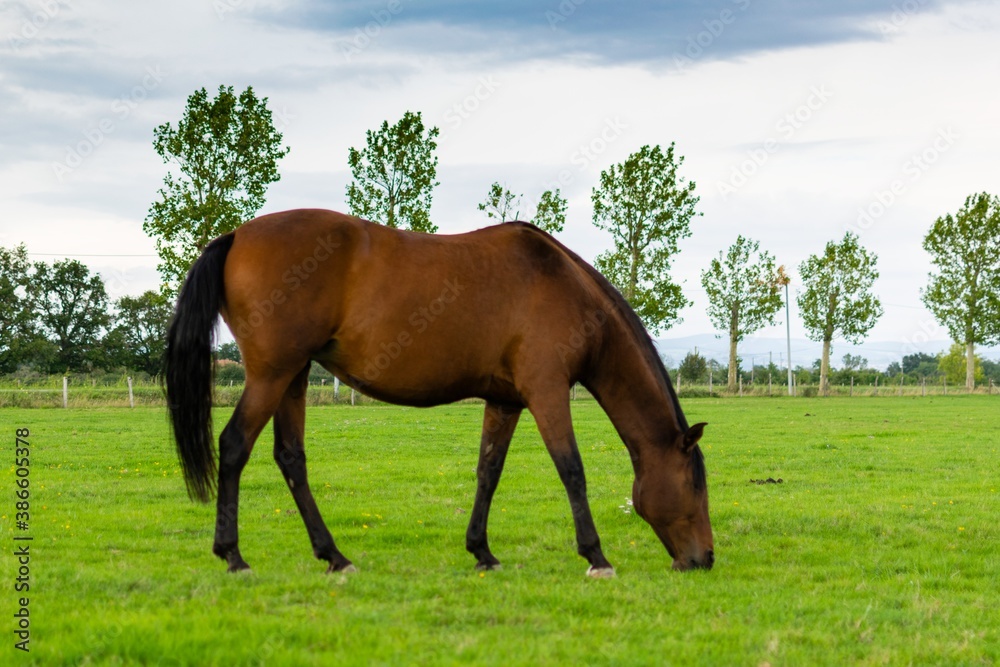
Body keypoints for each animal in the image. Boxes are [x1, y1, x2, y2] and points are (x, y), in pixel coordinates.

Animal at [164, 210, 712, 580]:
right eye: (696, 484)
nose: (704, 559)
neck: (564, 285)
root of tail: (236, 236)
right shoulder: (547, 392)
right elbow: (571, 469)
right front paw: (596, 556)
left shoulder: (506, 401)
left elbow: (489, 471)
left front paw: (482, 552)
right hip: (272, 375)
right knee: (235, 446)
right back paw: (234, 556)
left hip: (293, 376)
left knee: (290, 457)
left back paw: (334, 556)